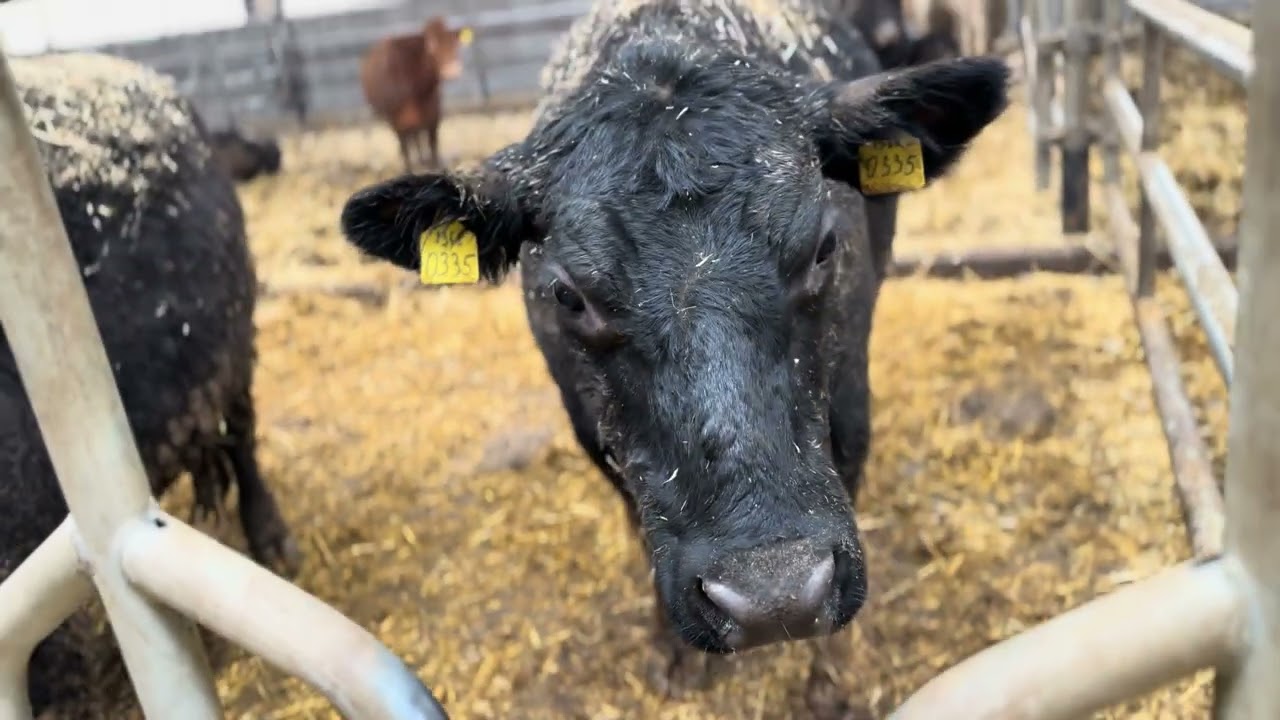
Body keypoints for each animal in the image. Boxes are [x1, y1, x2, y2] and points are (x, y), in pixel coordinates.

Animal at [359, 17, 473, 172]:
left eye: (455, 45)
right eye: (431, 48)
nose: (452, 70)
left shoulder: (434, 115)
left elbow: (433, 146)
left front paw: (433, 165)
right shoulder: (397, 122)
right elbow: (405, 150)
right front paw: (409, 170)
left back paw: (422, 160)